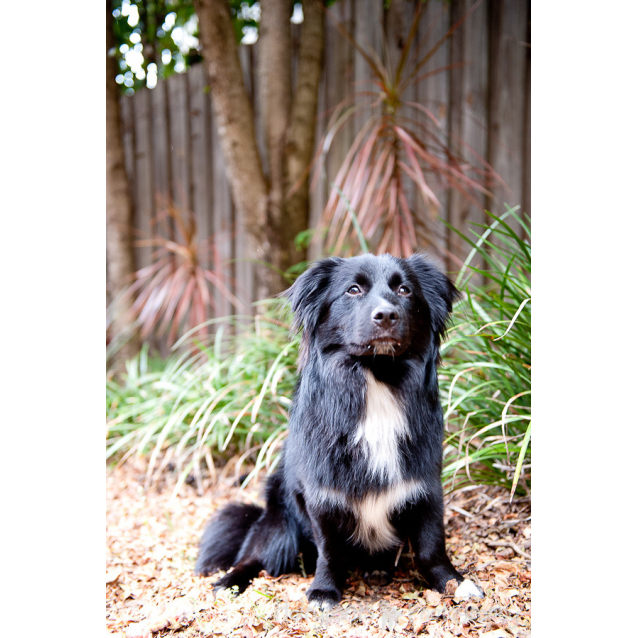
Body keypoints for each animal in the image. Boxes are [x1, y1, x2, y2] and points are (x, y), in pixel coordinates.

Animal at [195, 254, 484, 608]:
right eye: (353, 290)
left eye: (404, 290)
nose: (386, 315)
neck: (376, 379)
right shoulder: (323, 494)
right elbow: (330, 550)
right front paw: (323, 591)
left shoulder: (424, 485)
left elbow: (432, 546)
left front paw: (455, 583)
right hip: (280, 522)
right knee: (256, 556)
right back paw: (230, 582)